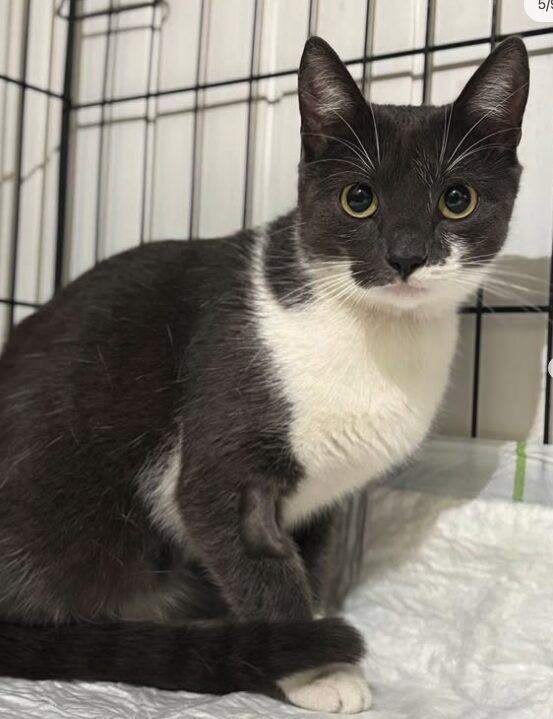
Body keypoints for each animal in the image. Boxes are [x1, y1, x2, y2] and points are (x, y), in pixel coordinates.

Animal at [0, 35, 528, 716]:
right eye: (359, 199)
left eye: (456, 199)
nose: (406, 256)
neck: (378, 339)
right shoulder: (220, 448)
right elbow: (260, 564)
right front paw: (316, 667)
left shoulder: (323, 502)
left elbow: (312, 561)